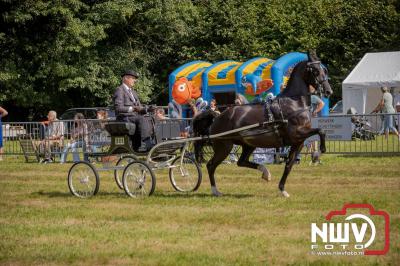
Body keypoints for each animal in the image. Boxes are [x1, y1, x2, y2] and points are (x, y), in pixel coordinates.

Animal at [192, 51, 332, 197]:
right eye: (315, 70)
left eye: (324, 70)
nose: (328, 91)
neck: (294, 104)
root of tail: (217, 117)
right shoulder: (297, 133)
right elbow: (321, 130)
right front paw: (321, 150)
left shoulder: (298, 142)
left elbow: (289, 165)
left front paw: (283, 189)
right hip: (224, 146)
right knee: (211, 165)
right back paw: (215, 190)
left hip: (248, 145)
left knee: (241, 162)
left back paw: (265, 172)